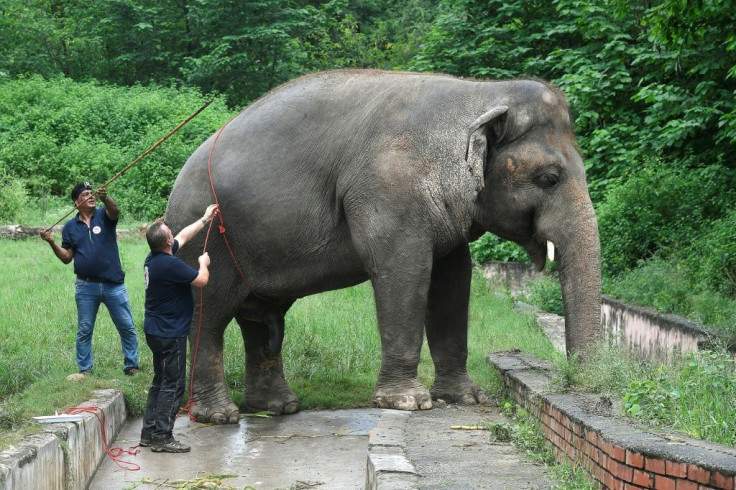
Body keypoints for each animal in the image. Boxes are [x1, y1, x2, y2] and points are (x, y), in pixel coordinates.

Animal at [168, 69, 604, 424]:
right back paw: (219, 416)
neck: (479, 94)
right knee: (210, 316)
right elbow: (404, 271)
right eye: (549, 178)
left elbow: (453, 281)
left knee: (262, 319)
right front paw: (409, 403)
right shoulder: (388, 190)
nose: (580, 385)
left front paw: (465, 398)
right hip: (207, 240)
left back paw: (278, 408)